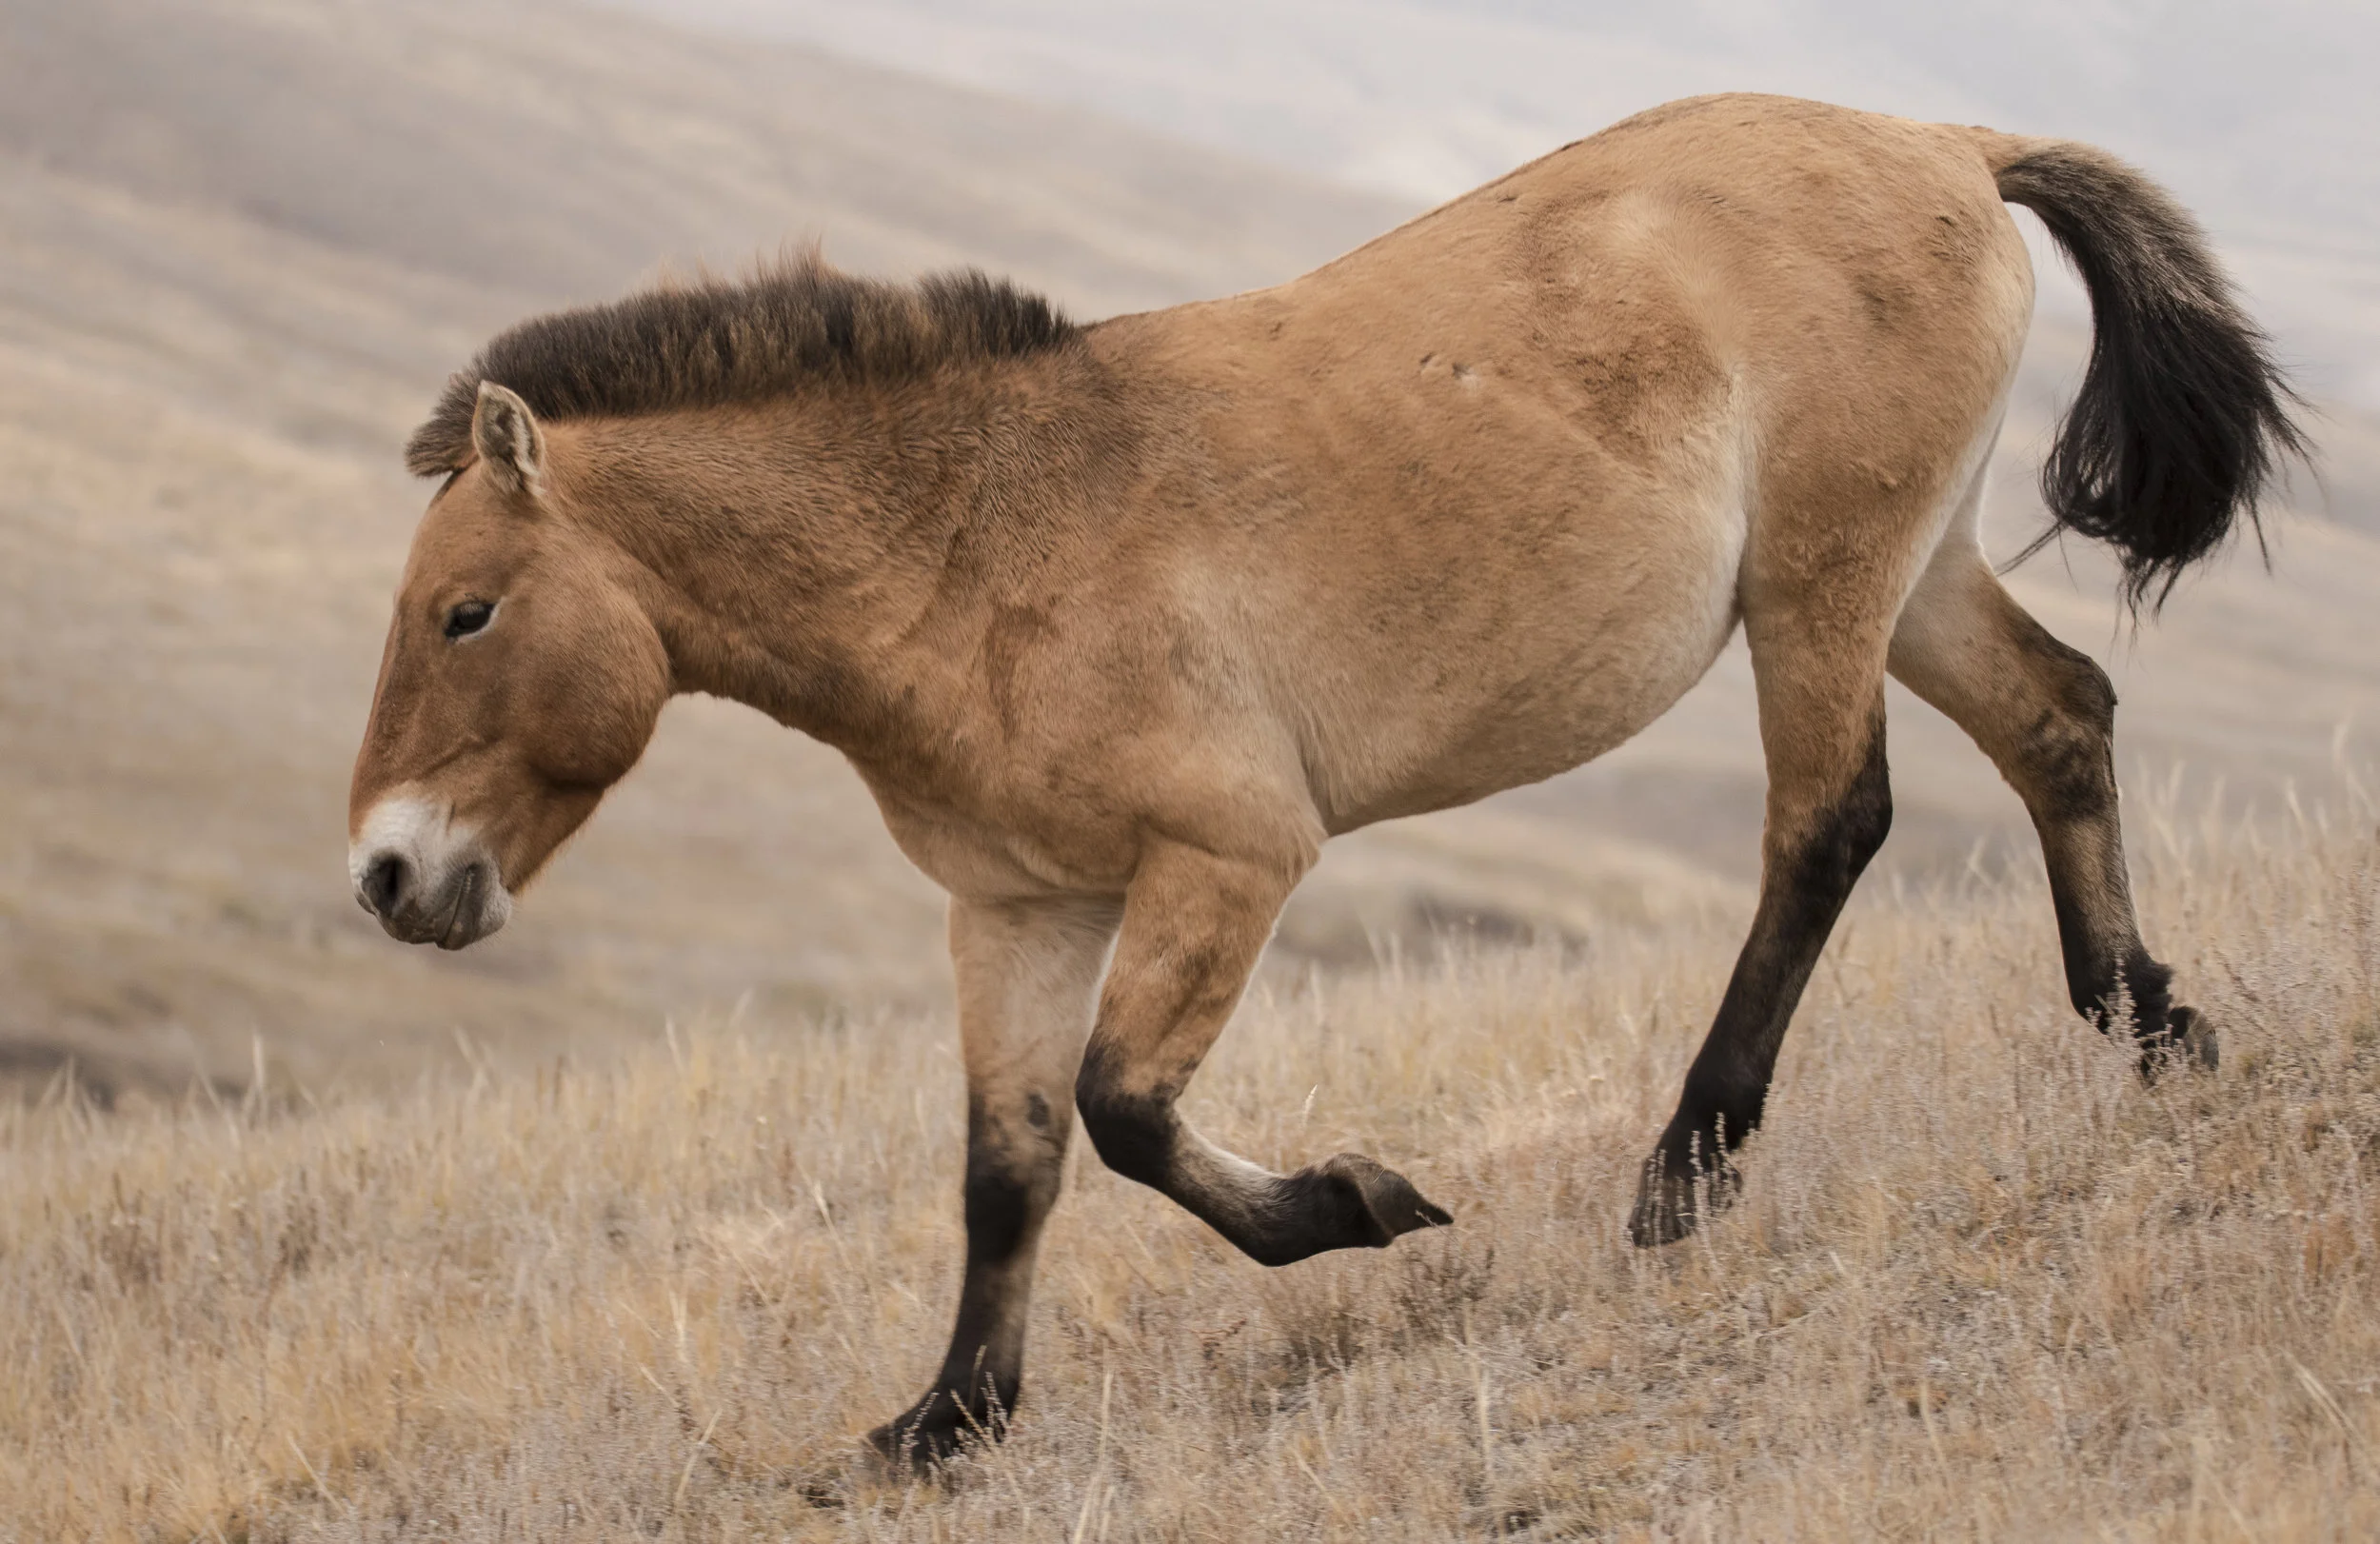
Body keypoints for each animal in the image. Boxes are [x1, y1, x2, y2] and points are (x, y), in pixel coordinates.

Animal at [348, 93, 2299, 1465]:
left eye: (465, 610)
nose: (387, 875)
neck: (980, 534)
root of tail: (1949, 145)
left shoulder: (1227, 859)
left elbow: (1127, 1114)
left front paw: (1366, 1204)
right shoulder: (1019, 907)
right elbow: (1008, 1164)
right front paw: (946, 1422)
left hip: (1821, 589)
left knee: (1829, 830)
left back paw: (1684, 1174)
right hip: (1913, 571)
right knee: (2061, 719)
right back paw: (2154, 1029)